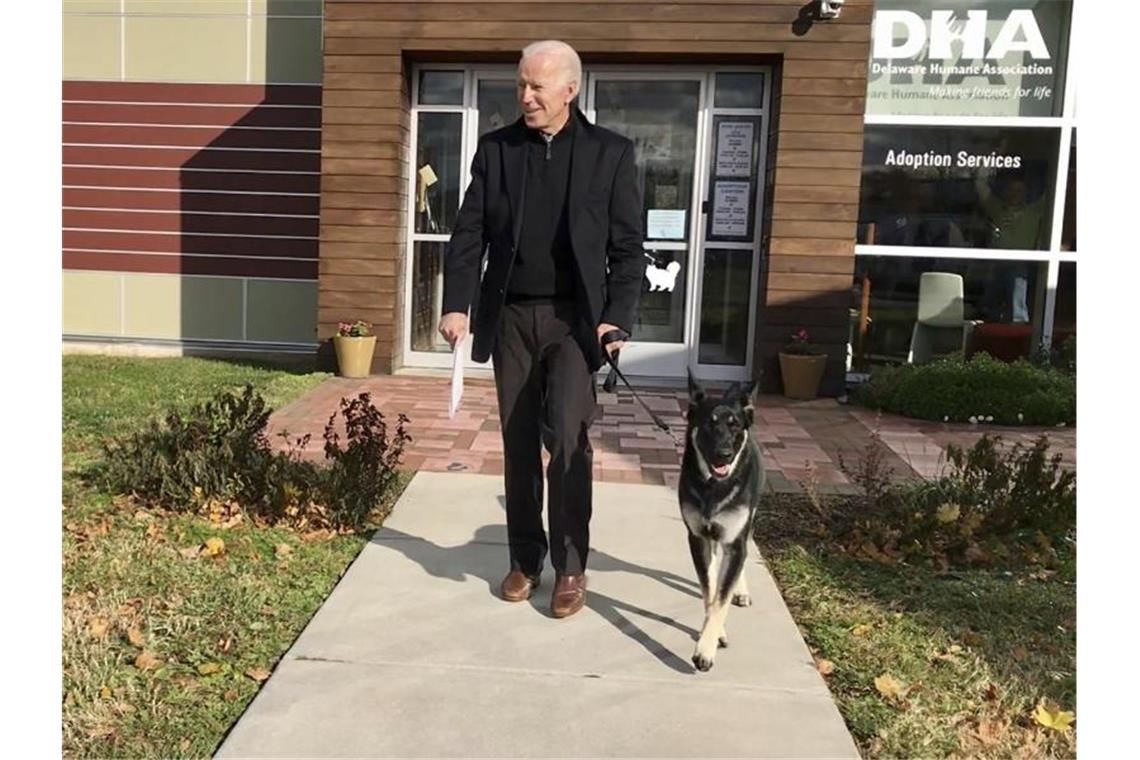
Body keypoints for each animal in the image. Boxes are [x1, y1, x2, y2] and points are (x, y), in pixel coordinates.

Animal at [674, 371, 766, 669]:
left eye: (735, 426)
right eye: (708, 424)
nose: (724, 454)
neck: (713, 486)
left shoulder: (735, 540)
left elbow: (721, 598)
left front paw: (706, 648)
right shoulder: (698, 538)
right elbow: (710, 591)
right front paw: (714, 634)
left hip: (747, 522)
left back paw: (741, 590)